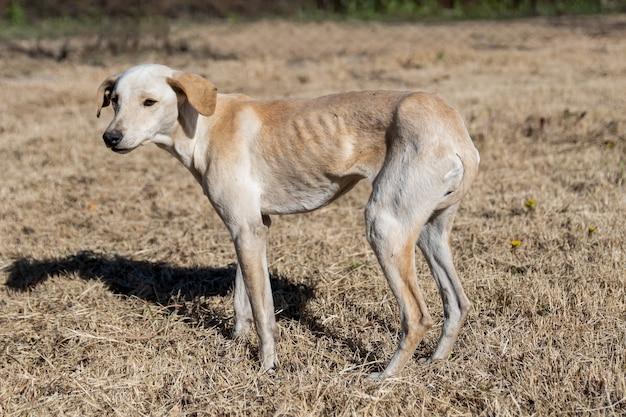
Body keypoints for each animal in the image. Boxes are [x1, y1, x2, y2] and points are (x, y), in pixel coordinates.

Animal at [96, 64, 478, 376]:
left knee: (417, 316)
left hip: (384, 227)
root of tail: (455, 130)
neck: (206, 125)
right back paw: (435, 361)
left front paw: (266, 367)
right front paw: (235, 343)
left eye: (149, 102)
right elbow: (243, 299)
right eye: (114, 100)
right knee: (457, 303)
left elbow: (263, 311)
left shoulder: (245, 230)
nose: (110, 138)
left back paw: (384, 377)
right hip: (429, 233)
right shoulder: (252, 228)